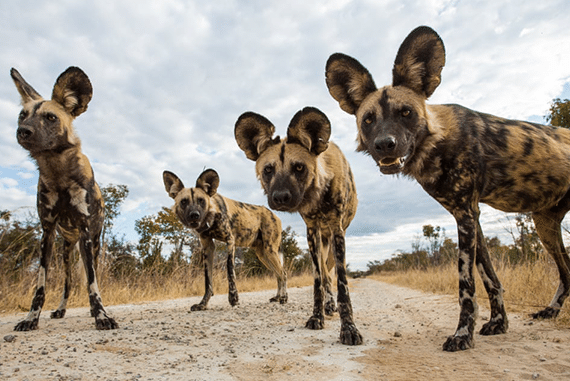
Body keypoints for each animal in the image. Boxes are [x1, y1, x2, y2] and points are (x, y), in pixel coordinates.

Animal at [10, 66, 117, 330]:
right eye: (22, 115)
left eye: (51, 118)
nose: (23, 131)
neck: (58, 171)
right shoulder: (47, 233)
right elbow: (40, 285)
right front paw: (31, 318)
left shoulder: (86, 232)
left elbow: (92, 283)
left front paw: (101, 315)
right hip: (66, 251)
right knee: (68, 283)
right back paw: (60, 310)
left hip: (93, 245)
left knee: (91, 276)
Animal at [163, 168, 288, 308]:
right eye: (184, 202)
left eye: (201, 200)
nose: (194, 215)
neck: (212, 216)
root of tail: (275, 215)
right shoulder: (208, 247)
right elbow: (208, 280)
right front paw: (203, 304)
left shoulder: (230, 241)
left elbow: (230, 270)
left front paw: (233, 298)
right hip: (263, 255)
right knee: (278, 274)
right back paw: (278, 297)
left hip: (270, 251)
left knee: (283, 273)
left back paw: (283, 298)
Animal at [234, 107, 360, 344]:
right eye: (268, 170)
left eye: (299, 167)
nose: (281, 197)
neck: (318, 194)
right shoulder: (312, 232)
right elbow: (318, 282)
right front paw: (317, 316)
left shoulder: (337, 231)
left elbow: (342, 285)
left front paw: (349, 328)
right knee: (325, 276)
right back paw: (328, 305)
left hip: (332, 242)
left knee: (331, 274)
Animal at [326, 24, 570, 350]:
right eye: (368, 119)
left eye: (406, 113)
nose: (385, 144)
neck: (435, 143)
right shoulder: (471, 216)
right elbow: (490, 278)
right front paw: (498, 323)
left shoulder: (465, 214)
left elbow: (466, 284)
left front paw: (462, 335)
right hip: (544, 224)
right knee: (567, 271)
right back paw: (551, 311)